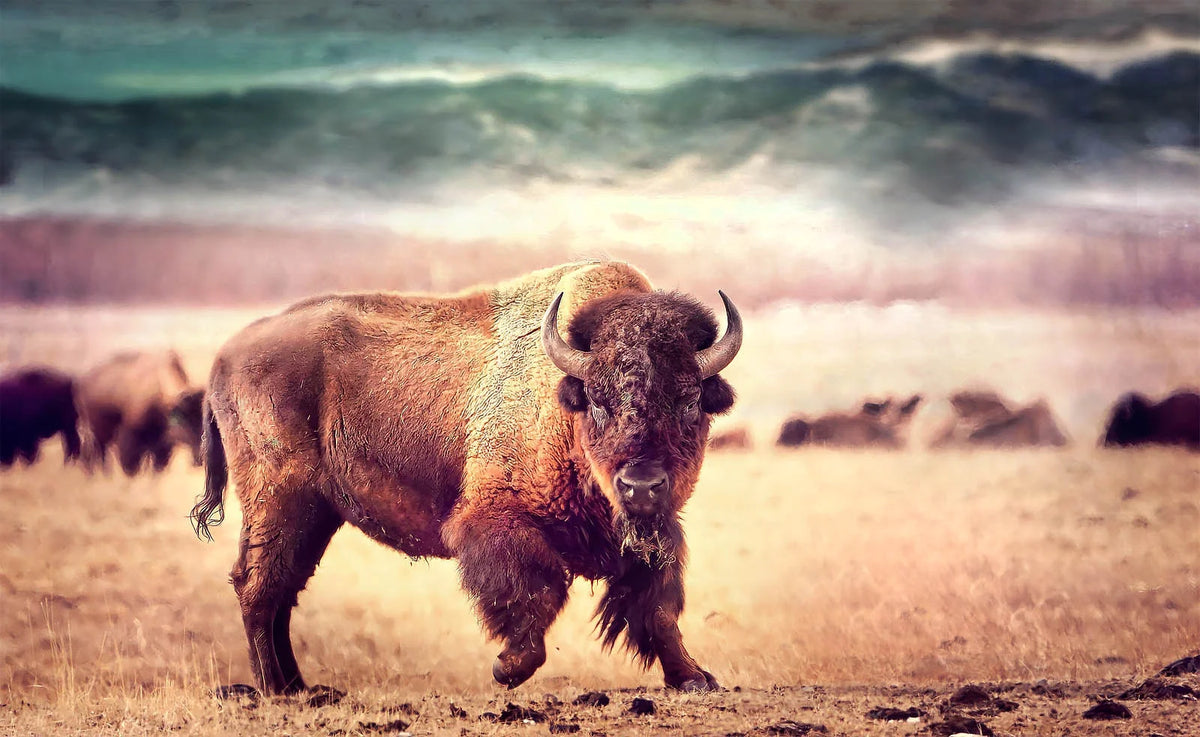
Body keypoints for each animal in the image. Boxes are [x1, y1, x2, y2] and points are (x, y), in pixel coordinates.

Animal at [76, 350, 204, 474]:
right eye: (185, 420)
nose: (200, 459)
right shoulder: (130, 443)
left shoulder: (161, 449)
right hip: (100, 432)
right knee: (101, 451)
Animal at [190, 262, 742, 696]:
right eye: (599, 401)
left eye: (690, 401)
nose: (641, 485)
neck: (564, 411)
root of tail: (224, 358)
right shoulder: (495, 523)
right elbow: (538, 593)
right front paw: (508, 668)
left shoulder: (654, 534)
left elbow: (659, 608)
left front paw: (695, 678)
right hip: (280, 501)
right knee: (258, 586)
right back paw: (276, 689)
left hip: (314, 515)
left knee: (282, 589)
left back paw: (299, 686)